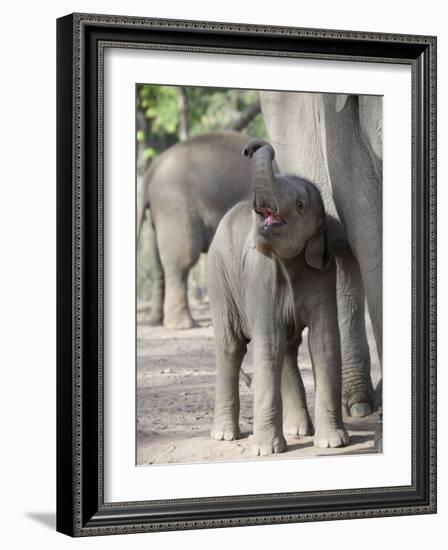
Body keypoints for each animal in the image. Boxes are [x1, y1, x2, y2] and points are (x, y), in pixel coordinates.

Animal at [136, 132, 252, 330]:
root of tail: (151, 173)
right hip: (175, 208)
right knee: (182, 261)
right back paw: (182, 325)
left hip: (158, 218)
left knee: (158, 263)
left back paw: (156, 322)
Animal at [208, 139, 348, 458]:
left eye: (300, 205)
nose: (251, 147)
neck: (289, 263)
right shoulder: (259, 276)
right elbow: (268, 340)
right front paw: (264, 451)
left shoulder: (323, 274)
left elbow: (323, 340)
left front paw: (333, 443)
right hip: (220, 276)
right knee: (232, 346)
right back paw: (224, 435)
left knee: (287, 347)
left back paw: (299, 430)